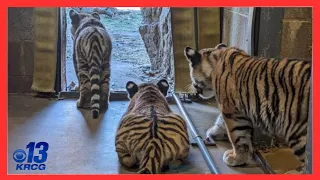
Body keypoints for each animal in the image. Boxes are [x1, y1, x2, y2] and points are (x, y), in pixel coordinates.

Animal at [184, 43, 312, 173]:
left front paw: (237, 158)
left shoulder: (232, 111)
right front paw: (214, 132)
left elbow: (238, 137)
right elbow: (222, 123)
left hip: (298, 132)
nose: (193, 87)